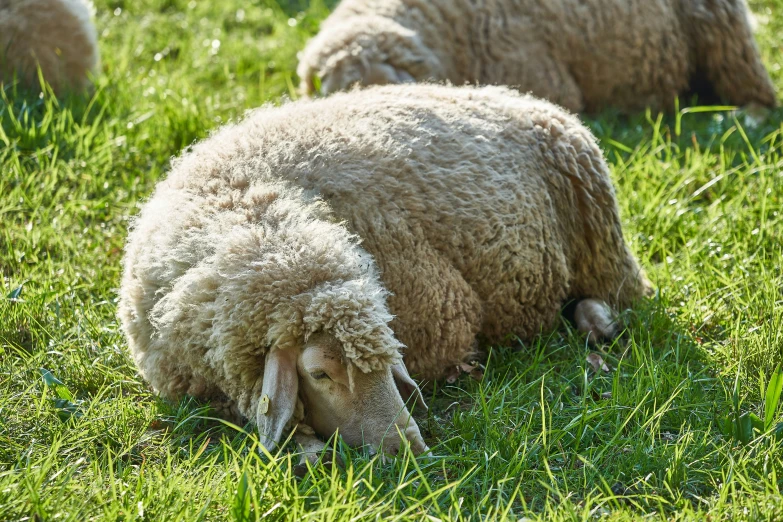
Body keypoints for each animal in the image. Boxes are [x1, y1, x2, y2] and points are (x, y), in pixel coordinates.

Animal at [119, 83, 652, 458]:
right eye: (319, 373)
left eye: (390, 361)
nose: (409, 448)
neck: (253, 209)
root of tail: (525, 99)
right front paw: (305, 446)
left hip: (603, 250)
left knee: (618, 299)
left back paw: (599, 324)